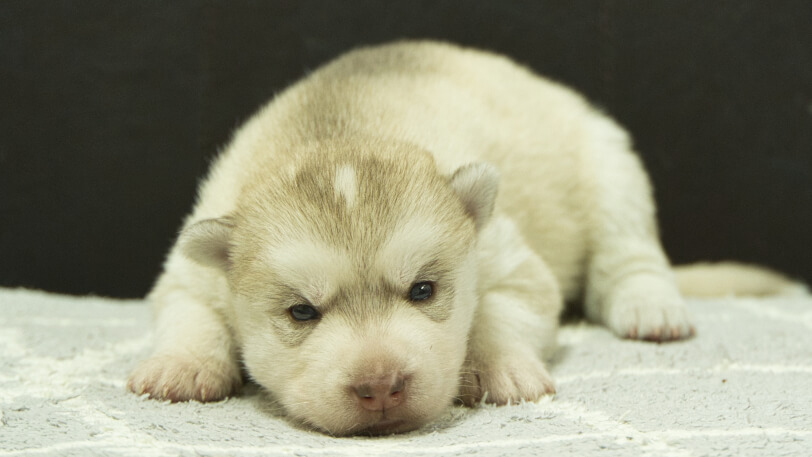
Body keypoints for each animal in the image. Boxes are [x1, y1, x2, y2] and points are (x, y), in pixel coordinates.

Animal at [130, 41, 788, 434]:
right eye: (301, 312)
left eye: (423, 291)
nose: (380, 386)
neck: (337, 135)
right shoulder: (191, 271)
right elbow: (188, 315)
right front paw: (180, 366)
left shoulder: (508, 257)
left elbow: (499, 310)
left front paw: (501, 368)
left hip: (610, 168)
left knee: (628, 258)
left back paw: (650, 307)